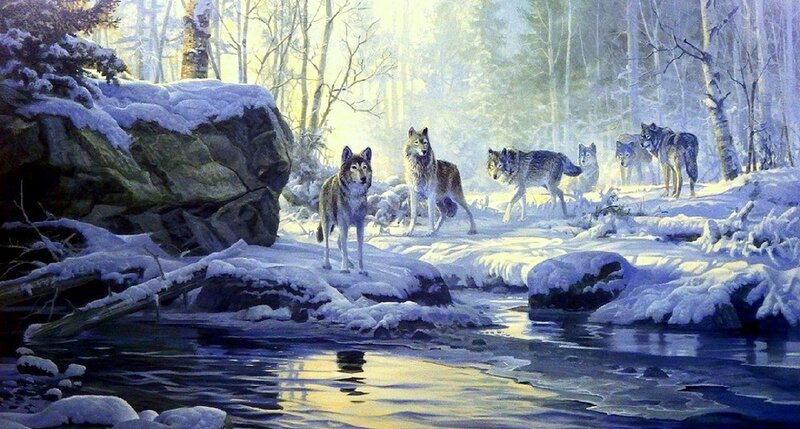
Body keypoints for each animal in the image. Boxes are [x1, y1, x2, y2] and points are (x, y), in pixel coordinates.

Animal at [316, 146, 372, 274]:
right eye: (354, 167)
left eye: (364, 167)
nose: (363, 178)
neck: (354, 196)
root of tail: (328, 179)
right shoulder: (343, 224)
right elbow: (345, 248)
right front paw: (344, 269)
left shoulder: (360, 224)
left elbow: (359, 251)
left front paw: (361, 270)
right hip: (327, 223)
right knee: (327, 245)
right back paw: (327, 264)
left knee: (338, 242)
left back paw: (350, 264)